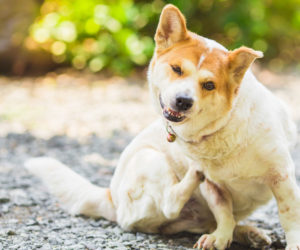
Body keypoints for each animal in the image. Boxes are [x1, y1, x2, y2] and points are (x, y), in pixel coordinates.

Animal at [25, 3, 298, 250]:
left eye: (209, 85)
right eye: (176, 69)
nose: (183, 101)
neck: (222, 130)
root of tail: (111, 197)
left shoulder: (282, 176)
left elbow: (288, 215)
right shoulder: (213, 187)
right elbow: (223, 211)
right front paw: (220, 238)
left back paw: (248, 233)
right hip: (150, 159)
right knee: (170, 203)